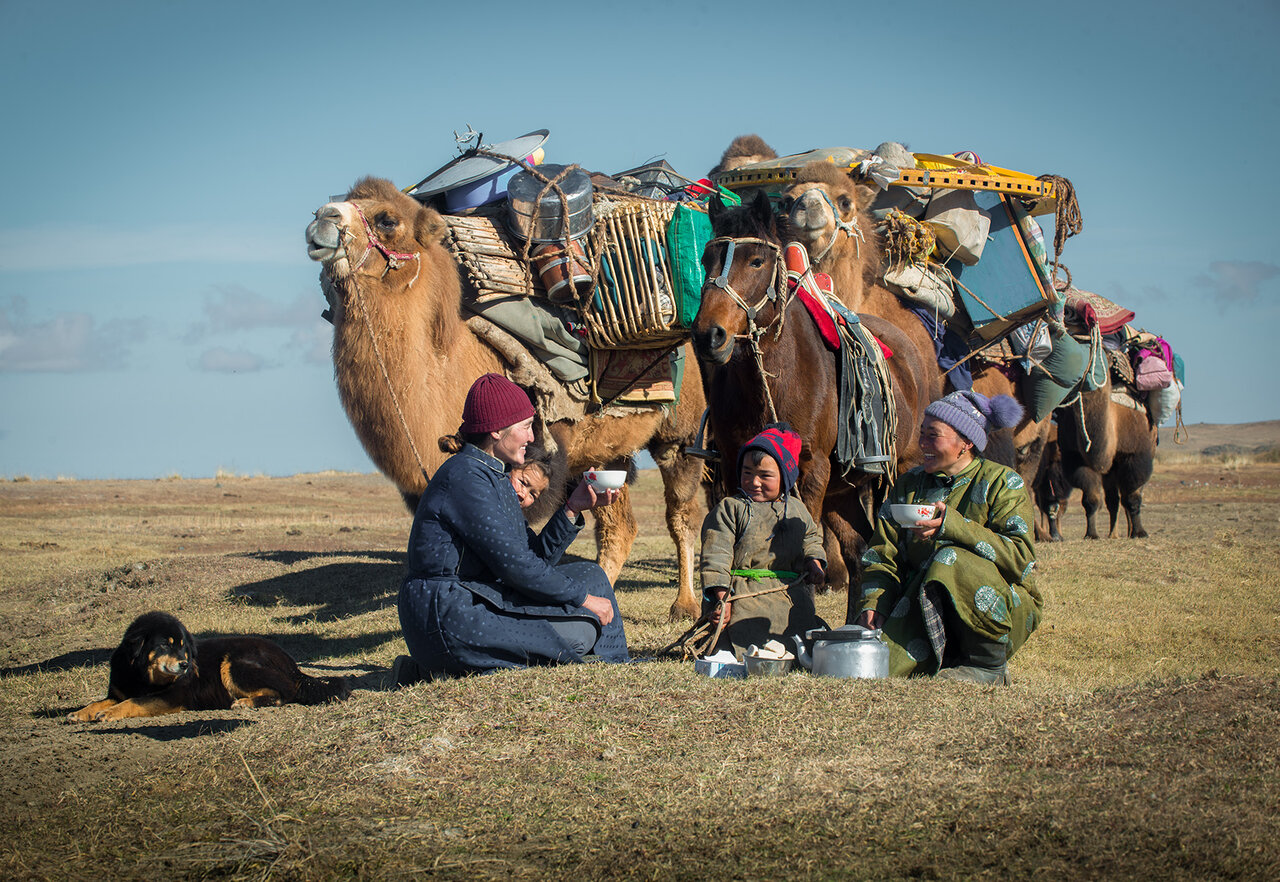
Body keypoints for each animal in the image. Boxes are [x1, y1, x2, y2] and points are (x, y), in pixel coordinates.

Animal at [69, 611, 350, 721]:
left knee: (282, 694)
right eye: (165, 645)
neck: (141, 676)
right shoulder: (118, 691)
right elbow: (99, 701)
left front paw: (108, 714)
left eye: (183, 646)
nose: (185, 665)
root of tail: (293, 665)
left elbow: (135, 702)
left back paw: (245, 703)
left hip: (233, 662)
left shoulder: (173, 695)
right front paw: (80, 713)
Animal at [696, 195, 936, 617]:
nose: (709, 335)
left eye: (756, 261)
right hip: (843, 488)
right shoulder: (731, 465)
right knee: (859, 551)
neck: (775, 379)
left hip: (899, 471)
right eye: (708, 258)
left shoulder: (812, 471)